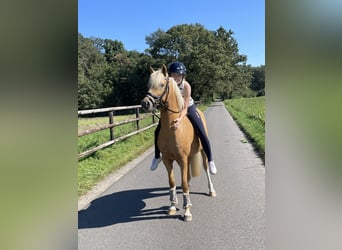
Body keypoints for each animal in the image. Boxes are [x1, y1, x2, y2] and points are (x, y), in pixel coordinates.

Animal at [140, 64, 215, 221]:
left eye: (162, 85)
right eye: (149, 85)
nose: (145, 103)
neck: (173, 129)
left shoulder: (182, 159)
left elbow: (184, 183)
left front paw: (187, 211)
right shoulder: (168, 160)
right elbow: (173, 182)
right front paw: (173, 206)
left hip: (202, 152)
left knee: (206, 168)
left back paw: (211, 189)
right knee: (187, 176)